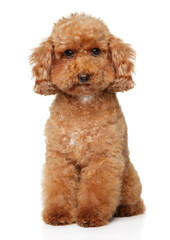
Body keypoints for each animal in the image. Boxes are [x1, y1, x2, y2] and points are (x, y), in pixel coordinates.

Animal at [29, 13, 144, 227]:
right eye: (68, 53)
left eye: (96, 51)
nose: (83, 76)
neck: (83, 104)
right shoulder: (60, 156)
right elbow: (59, 187)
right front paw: (58, 213)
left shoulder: (103, 156)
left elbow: (96, 189)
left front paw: (91, 215)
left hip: (129, 177)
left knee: (136, 202)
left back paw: (126, 209)